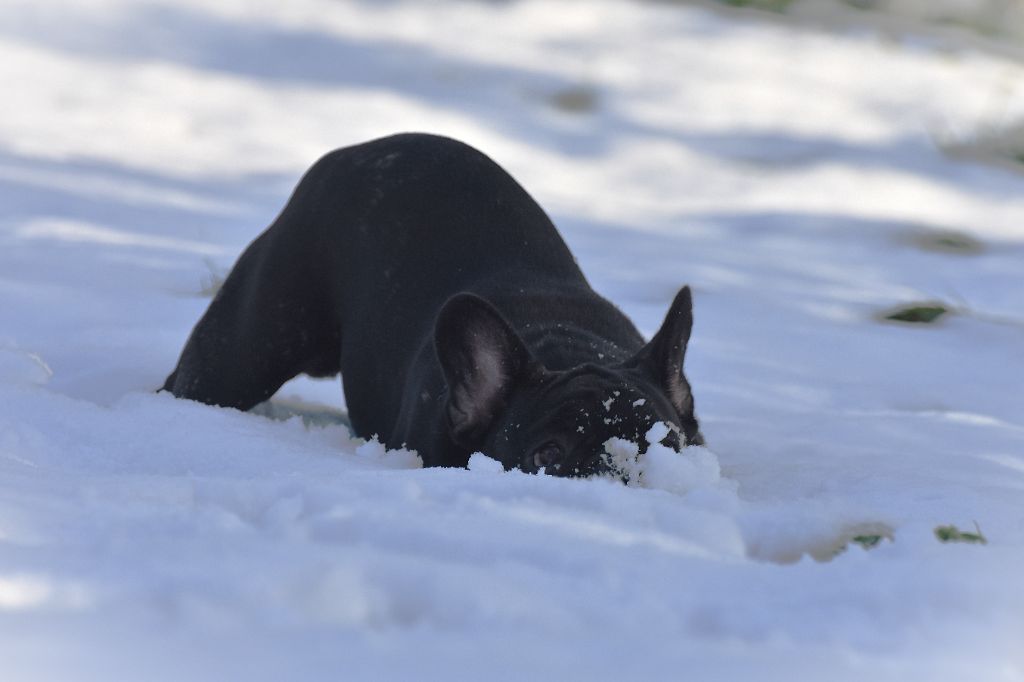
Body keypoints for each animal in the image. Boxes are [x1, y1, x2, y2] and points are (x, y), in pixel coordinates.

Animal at [161, 131, 704, 473]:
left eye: (670, 447)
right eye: (547, 458)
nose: (622, 468)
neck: (569, 350)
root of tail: (356, 151)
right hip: (246, 350)